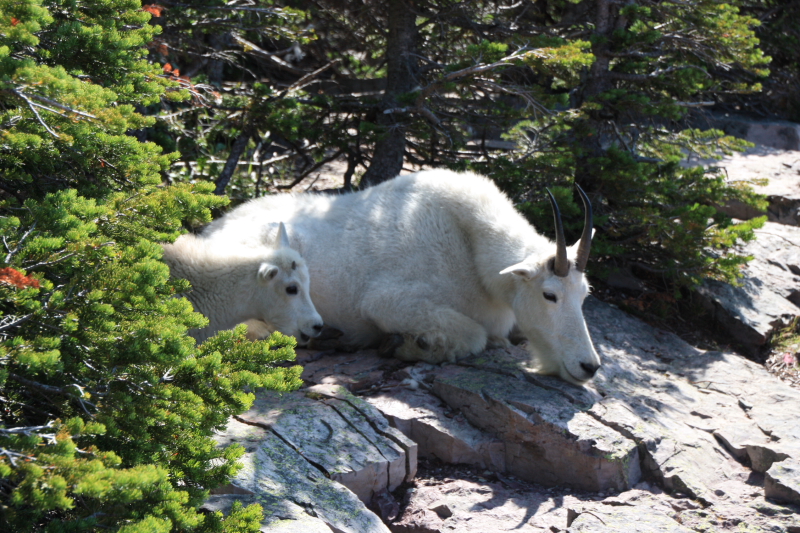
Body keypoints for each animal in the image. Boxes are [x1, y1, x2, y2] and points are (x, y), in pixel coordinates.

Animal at [200, 169, 600, 382]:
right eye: (550, 294)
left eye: (584, 295)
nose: (589, 366)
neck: (469, 243)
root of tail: (208, 232)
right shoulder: (387, 302)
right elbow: (474, 336)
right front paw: (410, 345)